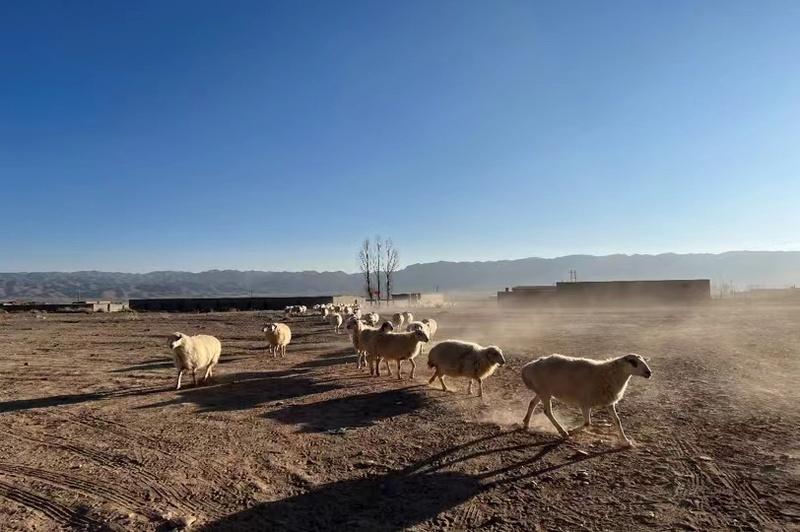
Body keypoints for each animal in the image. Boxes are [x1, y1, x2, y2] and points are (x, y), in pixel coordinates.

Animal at [520, 356, 652, 446]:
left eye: (644, 361)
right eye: (633, 362)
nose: (649, 373)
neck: (609, 374)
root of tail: (528, 367)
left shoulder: (609, 403)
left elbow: (617, 421)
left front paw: (626, 441)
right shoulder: (584, 403)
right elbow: (587, 423)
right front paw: (572, 431)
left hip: (542, 392)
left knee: (532, 403)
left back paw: (526, 423)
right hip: (545, 391)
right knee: (548, 411)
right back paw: (563, 431)